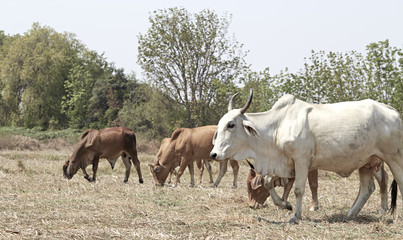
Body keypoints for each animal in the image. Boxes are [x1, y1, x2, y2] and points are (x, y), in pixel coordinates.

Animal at [211, 90, 403, 223]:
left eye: (231, 124)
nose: (214, 154)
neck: (278, 126)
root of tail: (392, 111)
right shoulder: (284, 163)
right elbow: (268, 182)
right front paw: (285, 205)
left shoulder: (301, 161)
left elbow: (298, 189)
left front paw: (295, 216)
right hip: (366, 163)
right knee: (367, 188)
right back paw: (350, 214)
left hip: (394, 158)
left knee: (397, 183)